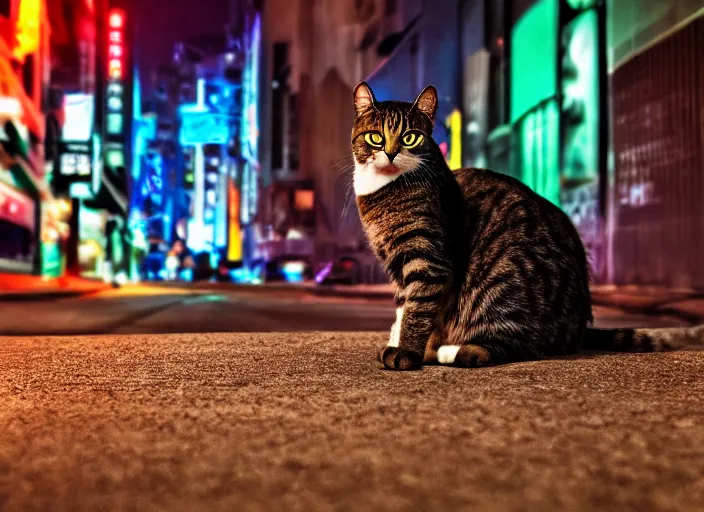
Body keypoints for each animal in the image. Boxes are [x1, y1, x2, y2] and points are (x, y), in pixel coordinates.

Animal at [352, 83, 704, 372]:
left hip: (503, 279)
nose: (391, 152)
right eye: (375, 137)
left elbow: (418, 308)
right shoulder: (398, 267)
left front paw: (408, 353)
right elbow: (404, 308)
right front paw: (406, 343)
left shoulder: (429, 261)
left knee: (515, 345)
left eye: (410, 137)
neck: (382, 193)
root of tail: (579, 329)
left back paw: (456, 351)